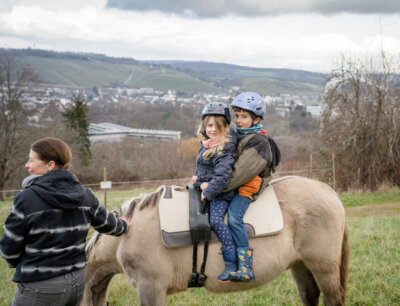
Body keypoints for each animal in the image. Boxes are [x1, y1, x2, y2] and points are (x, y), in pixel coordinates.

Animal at [83, 177, 348, 306]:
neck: (126, 234)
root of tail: (328, 190)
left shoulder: (151, 287)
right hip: (300, 265)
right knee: (310, 296)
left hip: (324, 266)